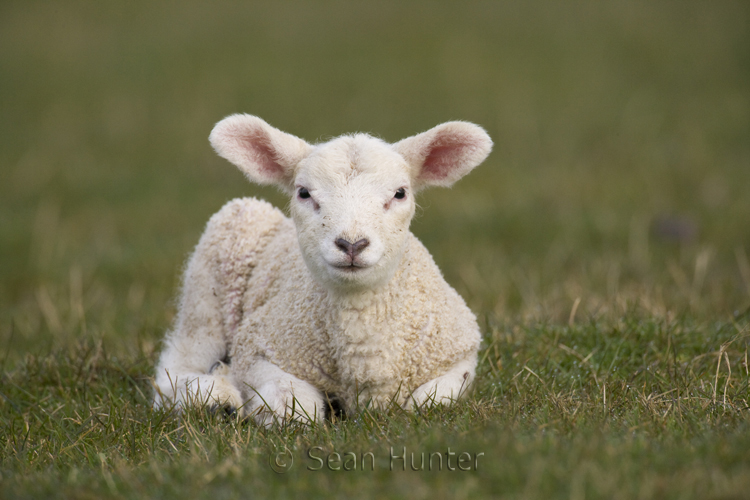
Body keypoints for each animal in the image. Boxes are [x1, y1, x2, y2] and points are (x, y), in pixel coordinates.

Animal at [152, 113, 494, 426]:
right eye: (304, 192)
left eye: (400, 193)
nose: (352, 244)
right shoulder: (259, 347)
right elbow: (294, 407)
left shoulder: (459, 352)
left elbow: (430, 402)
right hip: (214, 270)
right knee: (175, 367)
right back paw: (215, 398)